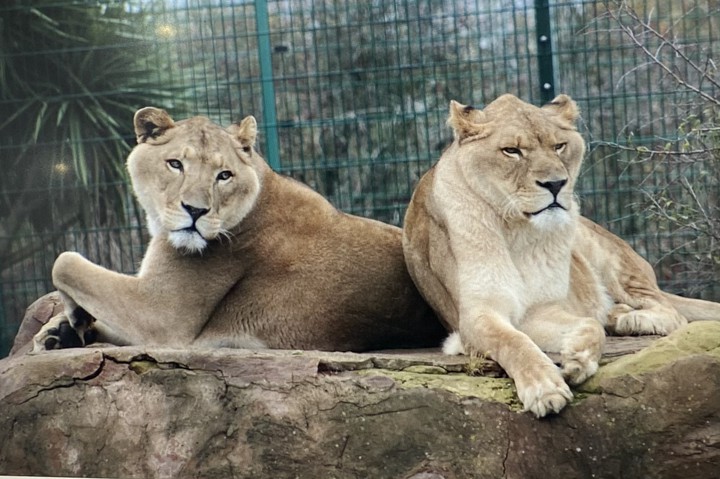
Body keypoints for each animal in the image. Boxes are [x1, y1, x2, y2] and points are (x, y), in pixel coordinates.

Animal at [32, 107, 446, 353]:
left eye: (224, 175)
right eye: (175, 164)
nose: (195, 211)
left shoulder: (163, 315)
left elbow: (65, 260)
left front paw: (75, 317)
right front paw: (63, 330)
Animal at [402, 94, 720, 417]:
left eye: (559, 146)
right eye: (511, 151)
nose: (555, 184)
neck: (517, 230)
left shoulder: (540, 308)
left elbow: (591, 325)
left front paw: (578, 359)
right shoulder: (476, 315)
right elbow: (514, 341)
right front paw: (545, 389)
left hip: (610, 259)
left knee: (672, 312)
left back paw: (627, 319)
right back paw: (618, 315)